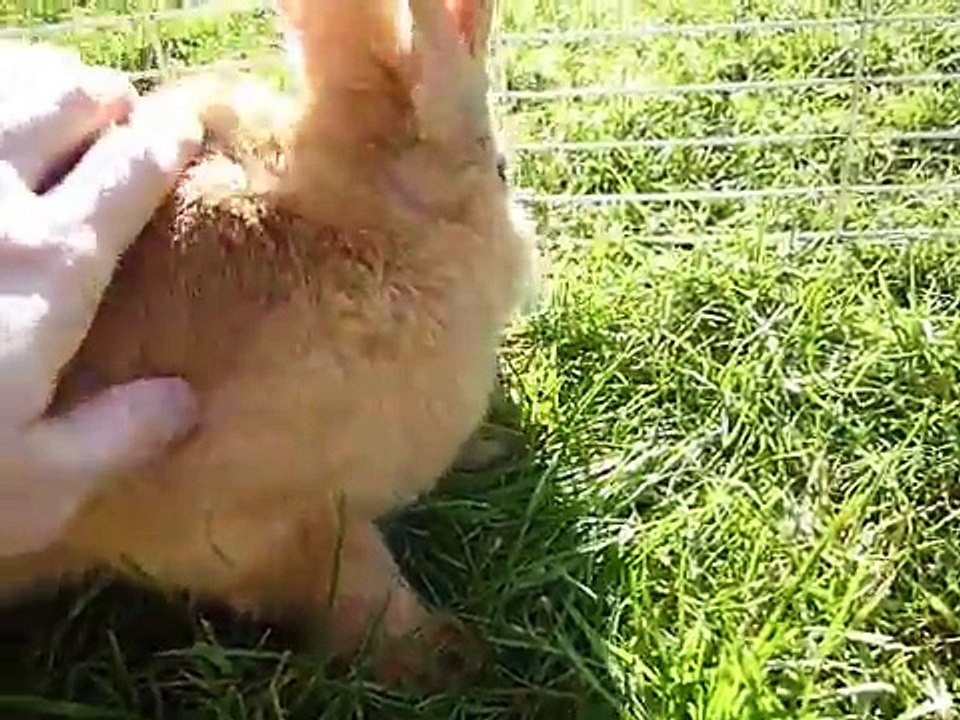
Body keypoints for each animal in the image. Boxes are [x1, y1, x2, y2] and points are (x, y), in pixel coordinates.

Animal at [0, 0, 538, 684]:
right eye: (502, 171)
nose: (526, 254)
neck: (362, 235)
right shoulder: (281, 526)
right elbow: (362, 586)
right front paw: (443, 654)